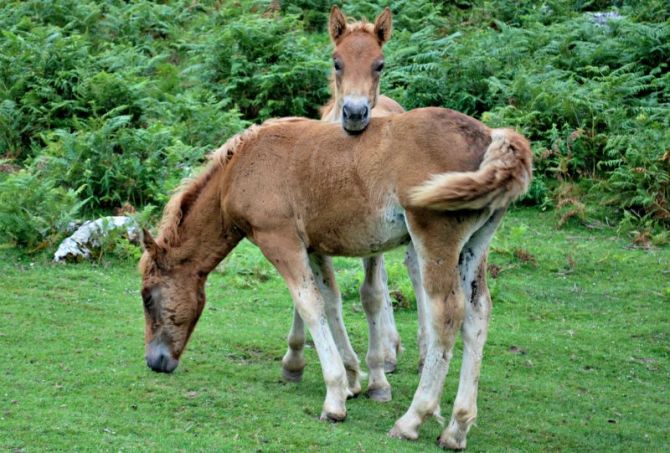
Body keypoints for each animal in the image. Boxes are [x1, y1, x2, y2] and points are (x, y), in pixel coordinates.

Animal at [139, 107, 532, 448]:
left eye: (147, 296)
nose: (155, 362)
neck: (242, 167)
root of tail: (490, 136)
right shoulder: (312, 245)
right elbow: (330, 301)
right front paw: (353, 379)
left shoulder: (279, 239)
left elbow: (309, 304)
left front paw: (335, 399)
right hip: (474, 247)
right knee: (477, 315)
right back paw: (457, 428)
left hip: (435, 239)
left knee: (446, 317)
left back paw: (412, 419)